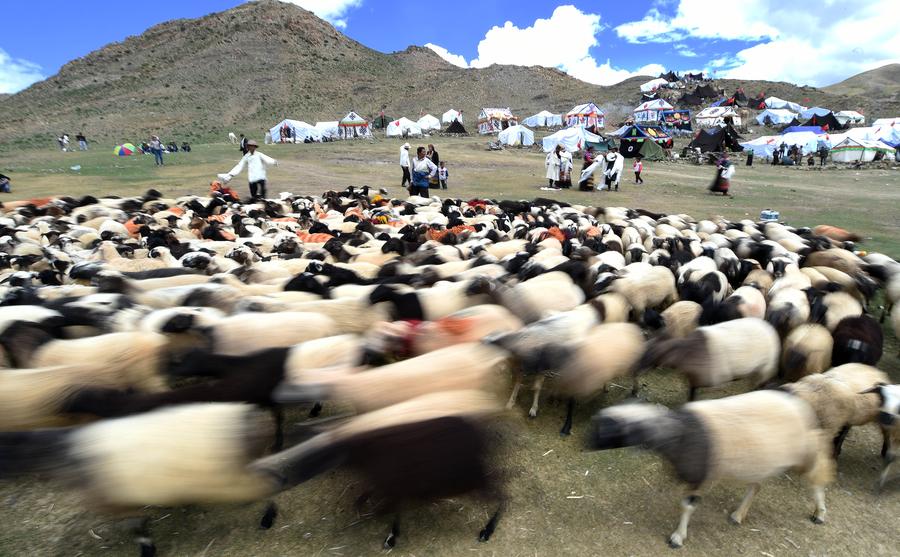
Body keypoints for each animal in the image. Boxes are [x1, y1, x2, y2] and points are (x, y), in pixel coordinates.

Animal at [632, 318, 780, 400]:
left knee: (761, 381)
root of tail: (770, 328)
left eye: (651, 353)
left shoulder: (712, 380)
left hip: (765, 367)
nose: (635, 370)